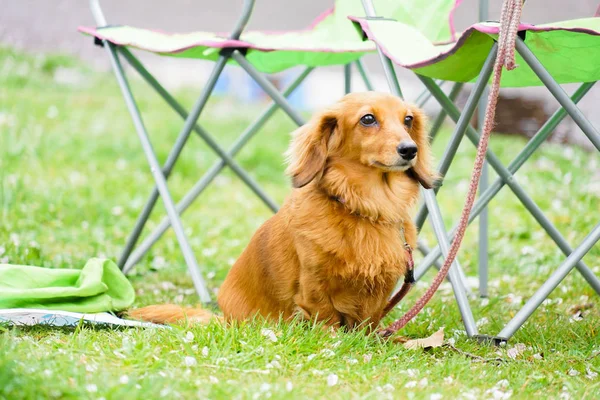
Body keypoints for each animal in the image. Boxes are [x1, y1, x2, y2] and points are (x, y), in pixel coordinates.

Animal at [129, 93, 436, 332]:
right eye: (368, 119)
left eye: (408, 120)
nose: (410, 150)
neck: (364, 206)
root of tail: (224, 320)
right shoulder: (314, 284)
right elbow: (326, 319)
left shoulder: (378, 293)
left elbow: (368, 324)